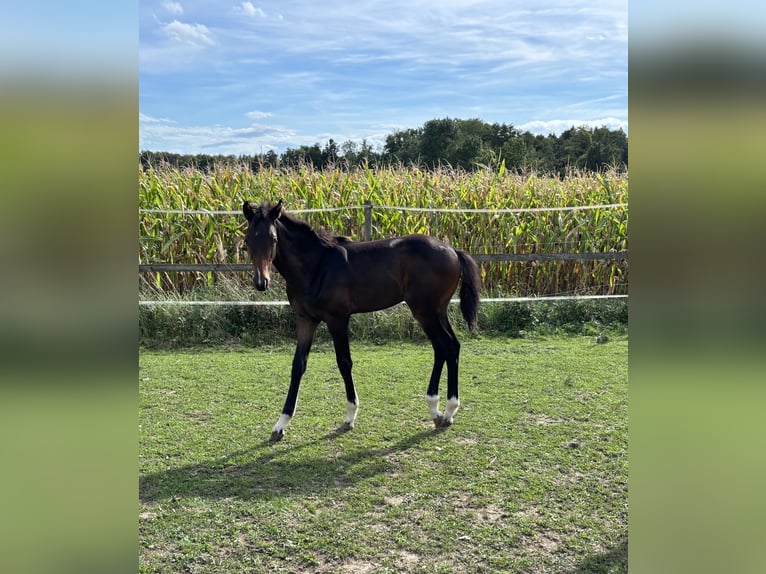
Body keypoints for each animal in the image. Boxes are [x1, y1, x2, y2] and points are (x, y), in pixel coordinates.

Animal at [242, 199, 481, 442]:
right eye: (247, 239)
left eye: (273, 239)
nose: (261, 282)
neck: (316, 265)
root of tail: (453, 250)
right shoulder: (305, 320)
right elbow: (298, 365)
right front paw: (280, 424)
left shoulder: (337, 319)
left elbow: (344, 362)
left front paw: (350, 416)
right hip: (438, 311)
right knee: (449, 346)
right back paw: (442, 411)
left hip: (425, 312)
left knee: (445, 345)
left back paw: (444, 409)